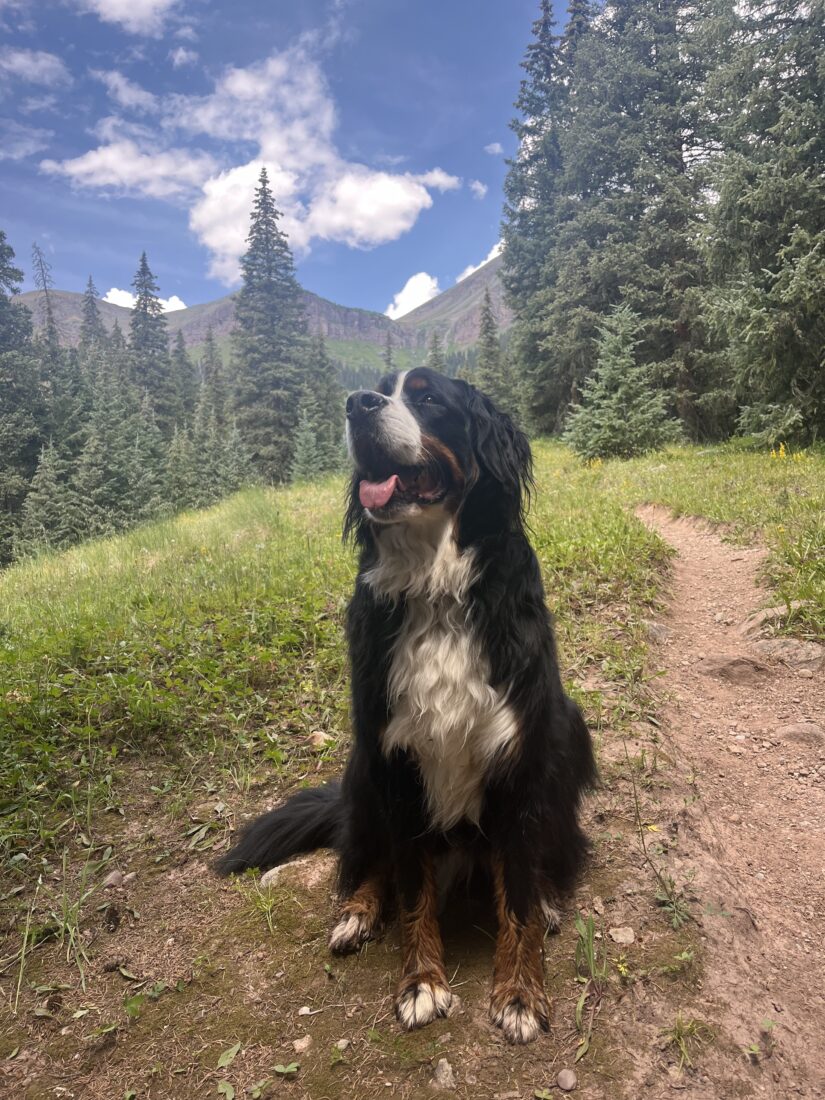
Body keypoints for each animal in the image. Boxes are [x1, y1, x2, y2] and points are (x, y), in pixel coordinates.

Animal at [217, 365, 594, 1042]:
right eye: (377, 390)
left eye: (427, 398)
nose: (356, 404)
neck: (436, 590)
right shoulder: (394, 758)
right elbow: (413, 885)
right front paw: (420, 982)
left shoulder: (521, 756)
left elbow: (519, 896)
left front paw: (521, 990)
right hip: (360, 770)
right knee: (368, 857)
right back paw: (358, 911)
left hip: (567, 734)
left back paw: (551, 899)